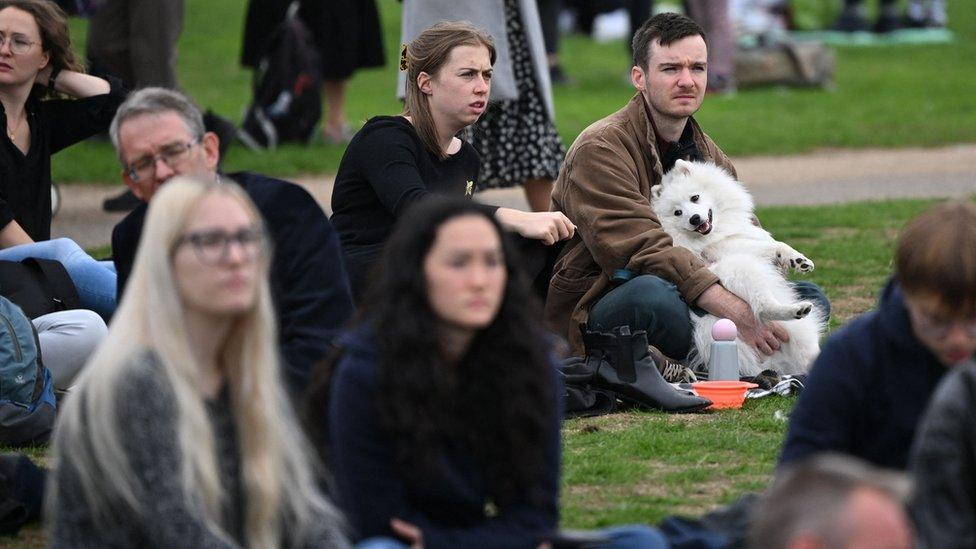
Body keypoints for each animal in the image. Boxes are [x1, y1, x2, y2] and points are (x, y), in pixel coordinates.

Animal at [652, 156, 820, 374]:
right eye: (677, 212)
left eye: (695, 198)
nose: (694, 219)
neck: (717, 229)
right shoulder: (724, 247)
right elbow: (767, 245)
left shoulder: (737, 239)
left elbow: (774, 245)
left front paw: (797, 260)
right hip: (742, 269)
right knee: (762, 307)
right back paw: (797, 310)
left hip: (800, 335)